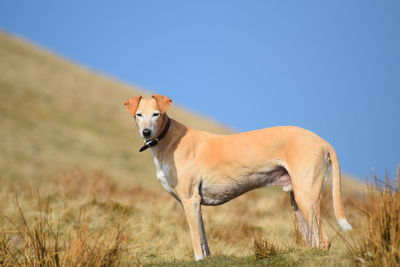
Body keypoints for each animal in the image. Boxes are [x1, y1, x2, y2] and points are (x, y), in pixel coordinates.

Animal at [124, 94, 350, 262]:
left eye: (156, 114)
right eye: (139, 114)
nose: (146, 132)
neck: (168, 140)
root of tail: (322, 141)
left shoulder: (190, 201)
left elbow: (196, 242)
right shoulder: (194, 205)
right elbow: (203, 240)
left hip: (306, 197)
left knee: (324, 241)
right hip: (297, 202)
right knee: (314, 240)